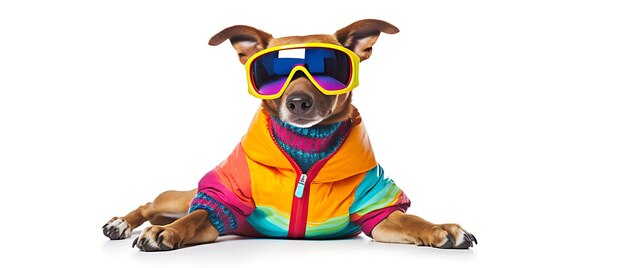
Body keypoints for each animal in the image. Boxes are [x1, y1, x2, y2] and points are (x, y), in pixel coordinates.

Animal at [102, 18, 476, 251]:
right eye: (272, 74)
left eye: (329, 69)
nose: (298, 102)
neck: (305, 149)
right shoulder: (217, 207)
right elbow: (195, 218)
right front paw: (167, 232)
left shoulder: (380, 214)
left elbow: (411, 219)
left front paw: (440, 228)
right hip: (185, 196)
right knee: (154, 206)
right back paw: (122, 223)